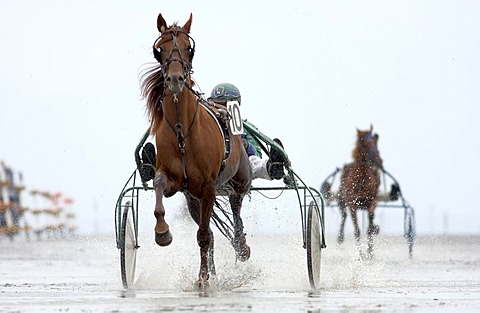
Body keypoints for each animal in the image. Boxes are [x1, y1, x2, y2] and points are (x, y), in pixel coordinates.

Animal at [139, 12, 251, 290]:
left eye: (188, 48)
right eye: (160, 48)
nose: (175, 79)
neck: (183, 133)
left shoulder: (209, 186)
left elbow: (203, 235)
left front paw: (202, 278)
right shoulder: (177, 183)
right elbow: (158, 185)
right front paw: (162, 232)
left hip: (239, 180)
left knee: (236, 209)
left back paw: (241, 246)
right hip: (193, 199)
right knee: (210, 229)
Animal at [336, 124, 384, 254]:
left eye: (375, 141)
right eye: (364, 142)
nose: (379, 161)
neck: (362, 181)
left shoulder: (372, 202)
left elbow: (369, 228)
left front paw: (370, 252)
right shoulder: (352, 204)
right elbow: (357, 230)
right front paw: (360, 254)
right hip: (342, 200)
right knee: (343, 215)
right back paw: (340, 238)